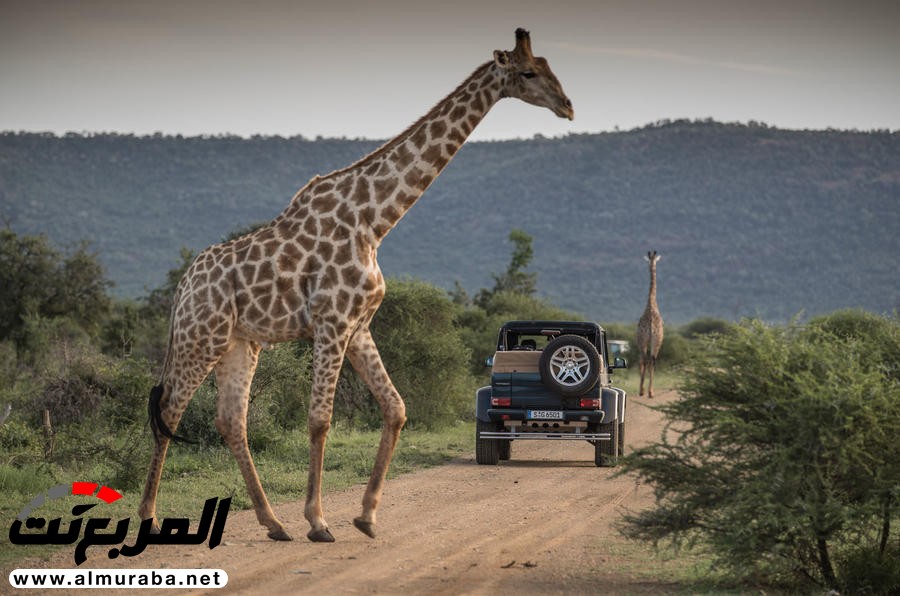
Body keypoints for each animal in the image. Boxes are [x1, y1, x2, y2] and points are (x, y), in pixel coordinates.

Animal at [141, 28, 576, 544]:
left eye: (549, 66)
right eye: (528, 73)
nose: (568, 106)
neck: (374, 219)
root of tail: (183, 286)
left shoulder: (358, 325)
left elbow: (396, 408)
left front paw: (366, 516)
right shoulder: (331, 323)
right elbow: (319, 419)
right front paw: (318, 520)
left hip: (239, 343)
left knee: (231, 422)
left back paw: (273, 522)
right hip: (200, 337)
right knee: (169, 412)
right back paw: (149, 517)